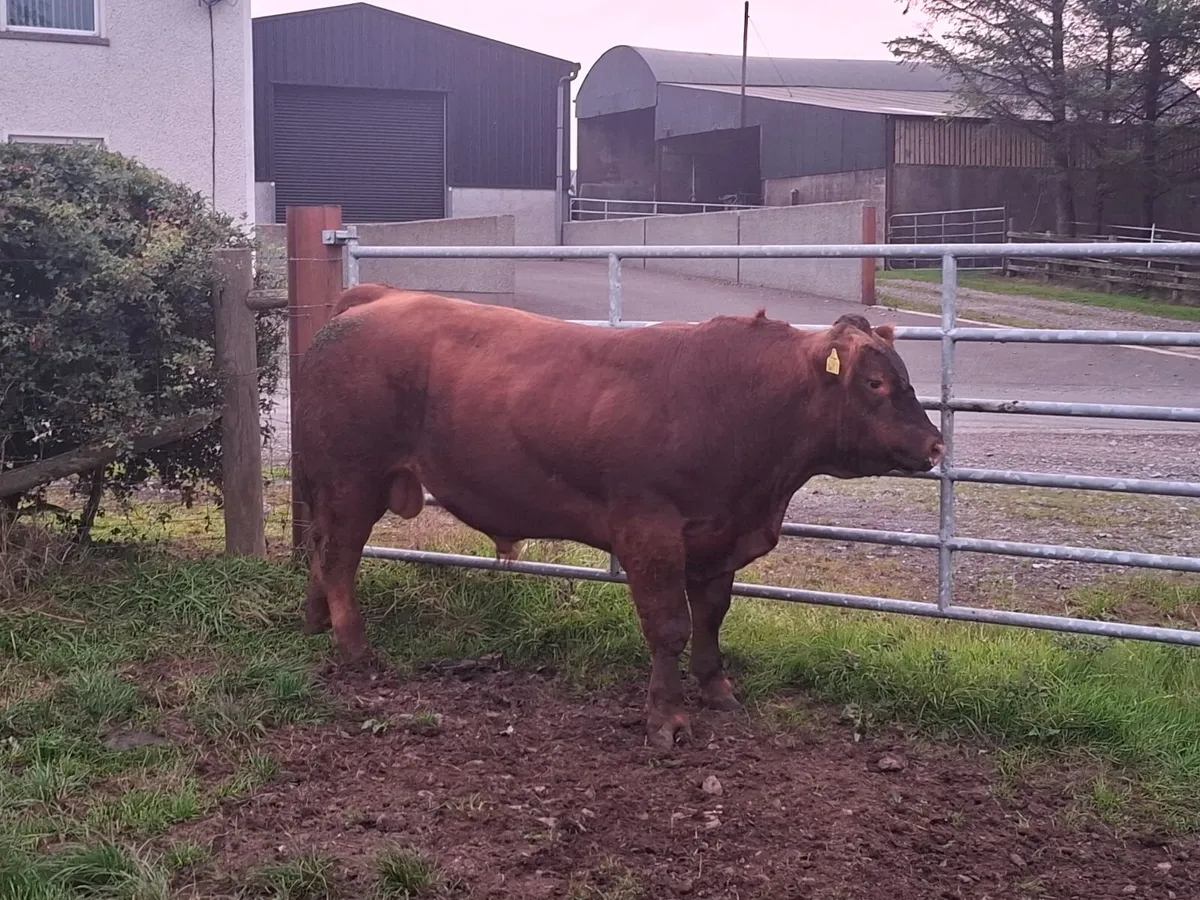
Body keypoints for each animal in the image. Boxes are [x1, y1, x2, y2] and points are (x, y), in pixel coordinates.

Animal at [292, 285, 944, 750]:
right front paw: (668, 718)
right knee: (340, 554)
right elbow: (670, 627)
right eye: (876, 382)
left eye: (905, 378)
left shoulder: (719, 535)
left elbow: (712, 617)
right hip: (354, 477)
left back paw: (315, 623)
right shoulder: (649, 532)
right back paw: (356, 647)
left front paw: (717, 688)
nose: (935, 446)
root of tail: (373, 298)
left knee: (322, 549)